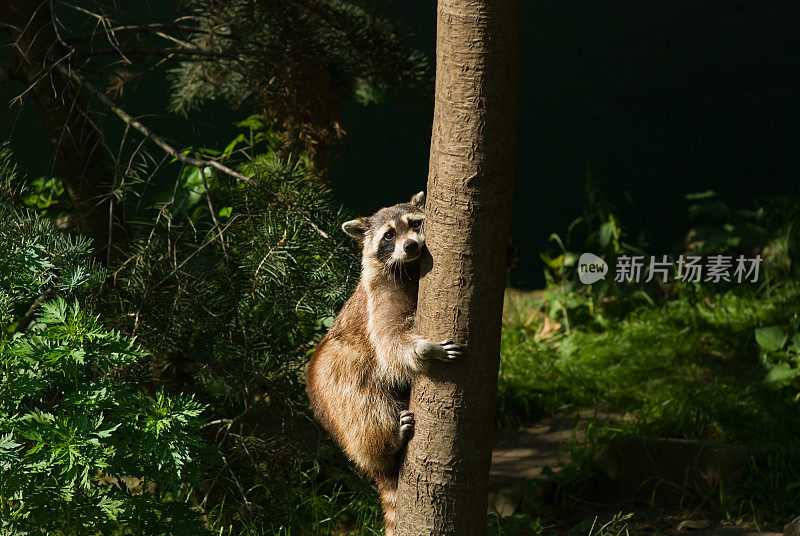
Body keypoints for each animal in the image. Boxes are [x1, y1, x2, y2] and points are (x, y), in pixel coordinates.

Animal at [304, 191, 462, 532]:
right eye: (388, 236)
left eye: (415, 223)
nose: (412, 246)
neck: (411, 268)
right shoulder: (379, 294)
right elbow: (389, 341)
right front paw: (425, 349)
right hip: (335, 387)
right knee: (361, 403)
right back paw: (386, 444)